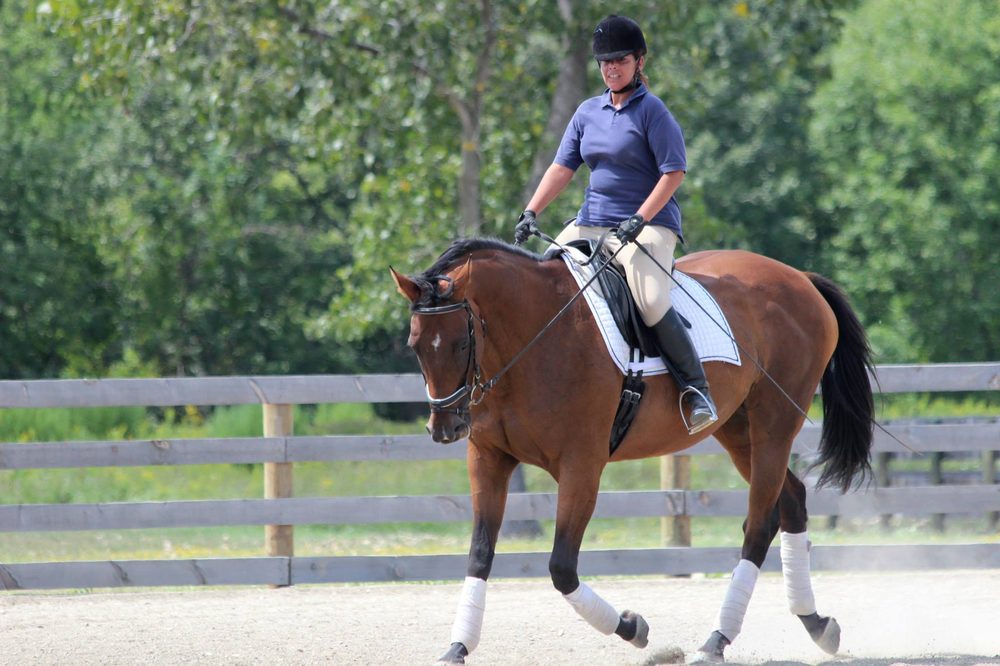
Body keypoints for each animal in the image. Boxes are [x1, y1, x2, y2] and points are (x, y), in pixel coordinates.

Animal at [390, 237, 875, 664]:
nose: (445, 428)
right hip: (739, 431)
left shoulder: (582, 466)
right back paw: (817, 624)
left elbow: (562, 567)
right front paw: (457, 647)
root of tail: (799, 278)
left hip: (775, 425)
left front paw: (631, 627)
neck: (534, 337)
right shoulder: (488, 460)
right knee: (789, 502)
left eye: (460, 342)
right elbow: (479, 553)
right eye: (415, 346)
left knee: (758, 525)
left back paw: (716, 641)